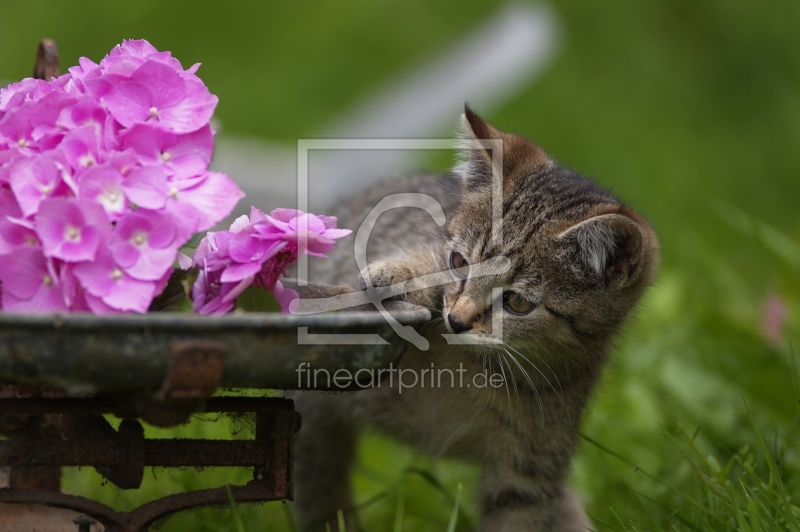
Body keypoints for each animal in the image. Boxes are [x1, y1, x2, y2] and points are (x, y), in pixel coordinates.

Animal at [290, 109, 660, 532]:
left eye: (517, 302)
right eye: (459, 262)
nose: (456, 320)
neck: (473, 370)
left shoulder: (527, 477)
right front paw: (401, 275)